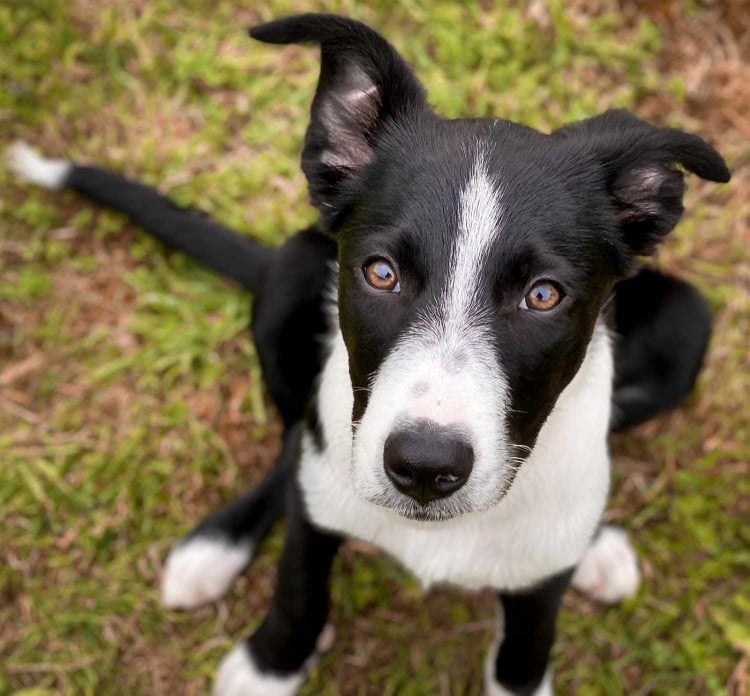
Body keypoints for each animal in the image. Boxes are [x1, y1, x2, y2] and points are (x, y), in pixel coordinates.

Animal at [8, 12, 732, 696]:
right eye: (381, 273)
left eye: (543, 295)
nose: (425, 467)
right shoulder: (317, 511)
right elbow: (300, 585)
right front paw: (271, 667)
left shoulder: (536, 596)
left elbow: (523, 657)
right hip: (290, 277)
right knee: (293, 448)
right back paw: (215, 549)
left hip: (687, 326)